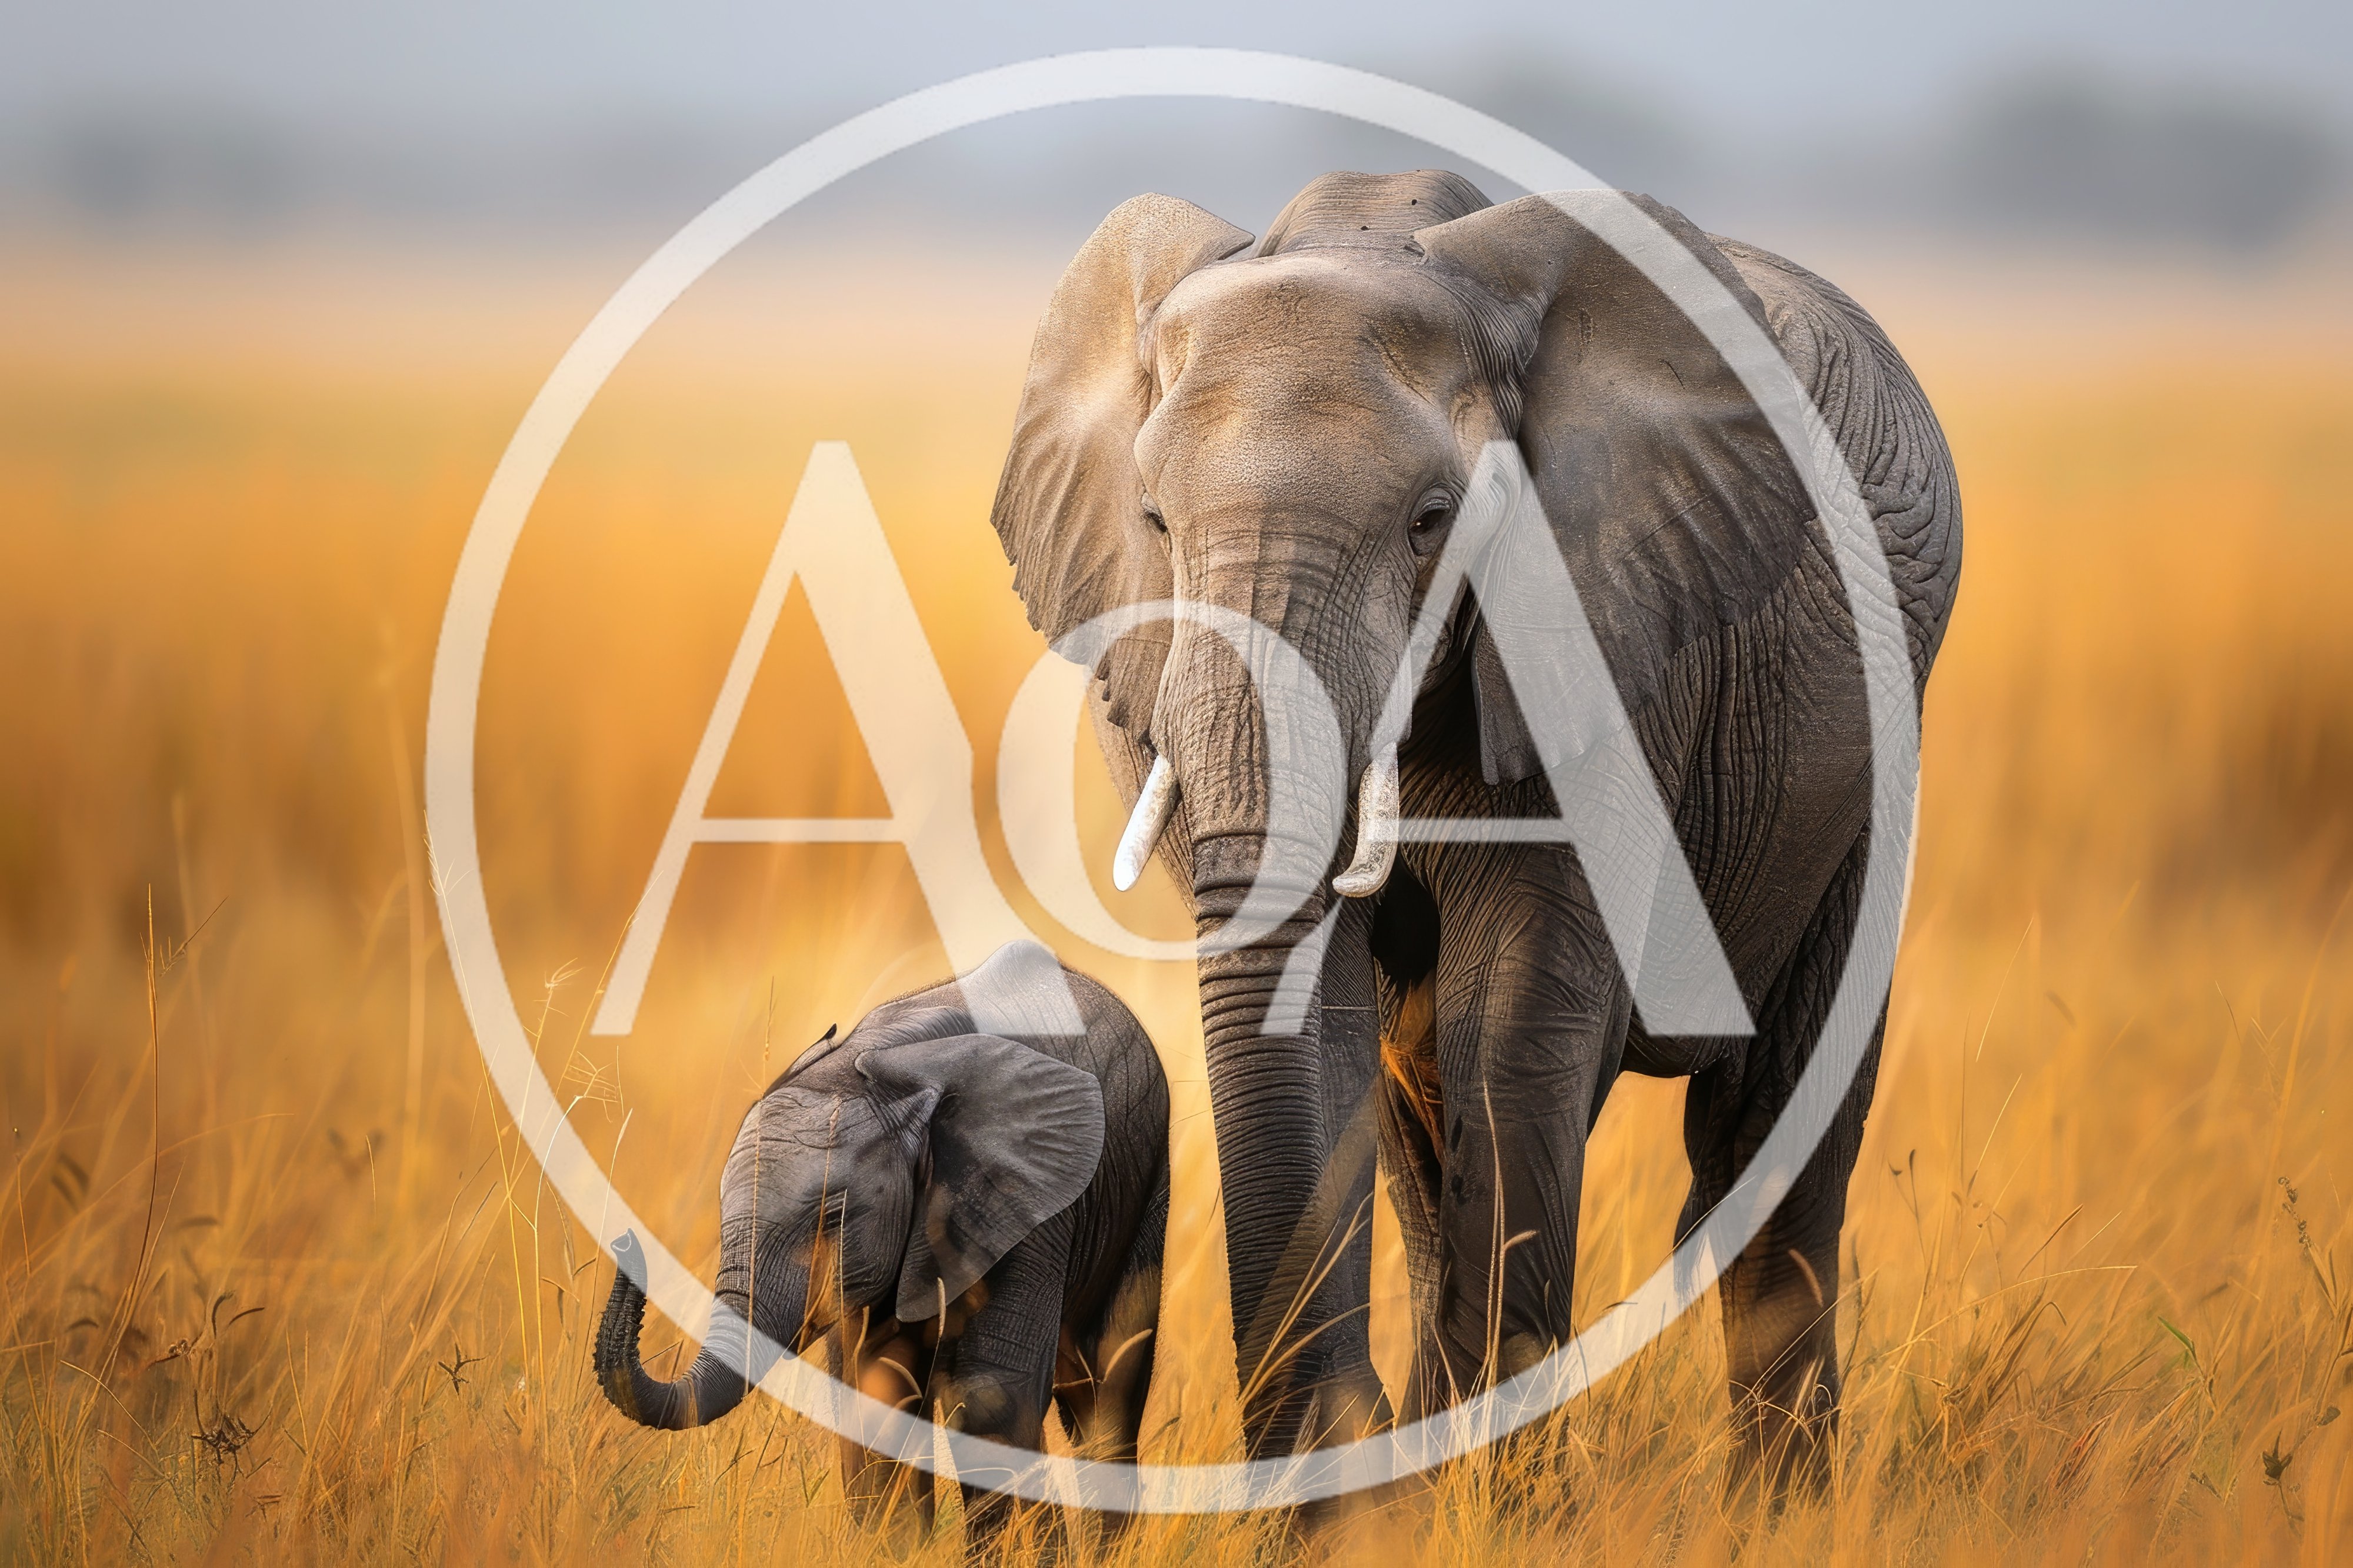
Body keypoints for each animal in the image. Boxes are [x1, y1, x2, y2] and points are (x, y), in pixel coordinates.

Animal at [593, 941, 1171, 1549]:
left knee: (1107, 1390)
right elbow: (876, 1396)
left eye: (834, 1217)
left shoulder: (1026, 1201)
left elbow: (992, 1399)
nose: (626, 1241)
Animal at [989, 168, 1960, 1490]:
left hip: (1874, 748)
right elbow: (1333, 1031)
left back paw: (1778, 1505)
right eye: (1153, 520)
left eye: (1431, 520)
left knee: (1768, 1131)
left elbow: (1513, 1021)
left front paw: (1483, 1501)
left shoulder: (1605, 647)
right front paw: (1369, 1488)